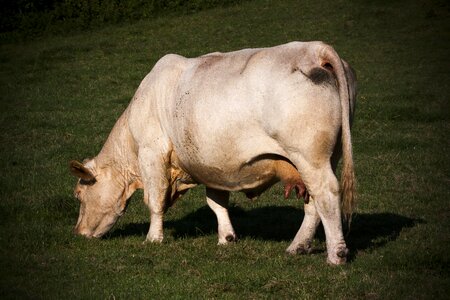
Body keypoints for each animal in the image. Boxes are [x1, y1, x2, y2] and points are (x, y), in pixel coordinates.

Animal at [70, 41, 356, 264]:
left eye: (79, 194)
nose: (78, 233)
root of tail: (315, 48)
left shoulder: (152, 154)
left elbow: (155, 200)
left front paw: (152, 238)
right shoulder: (214, 167)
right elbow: (216, 203)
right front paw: (226, 238)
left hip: (309, 156)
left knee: (326, 194)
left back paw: (336, 254)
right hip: (323, 158)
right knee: (313, 203)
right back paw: (297, 246)